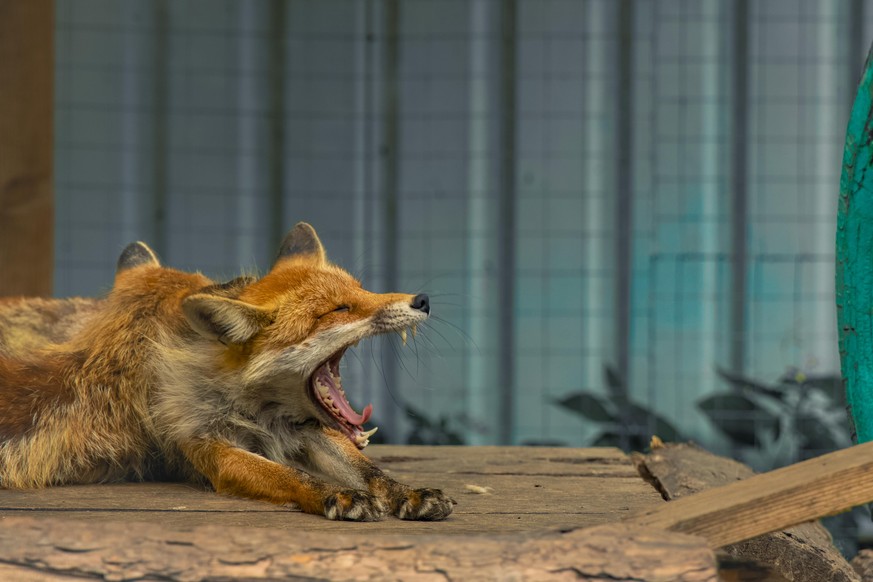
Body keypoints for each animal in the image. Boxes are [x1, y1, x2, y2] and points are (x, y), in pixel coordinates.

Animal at [0, 225, 454, 524]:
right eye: (338, 310)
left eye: (362, 291)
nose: (422, 300)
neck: (261, 411)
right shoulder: (209, 448)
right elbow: (287, 474)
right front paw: (336, 494)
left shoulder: (308, 430)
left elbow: (368, 470)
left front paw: (407, 492)